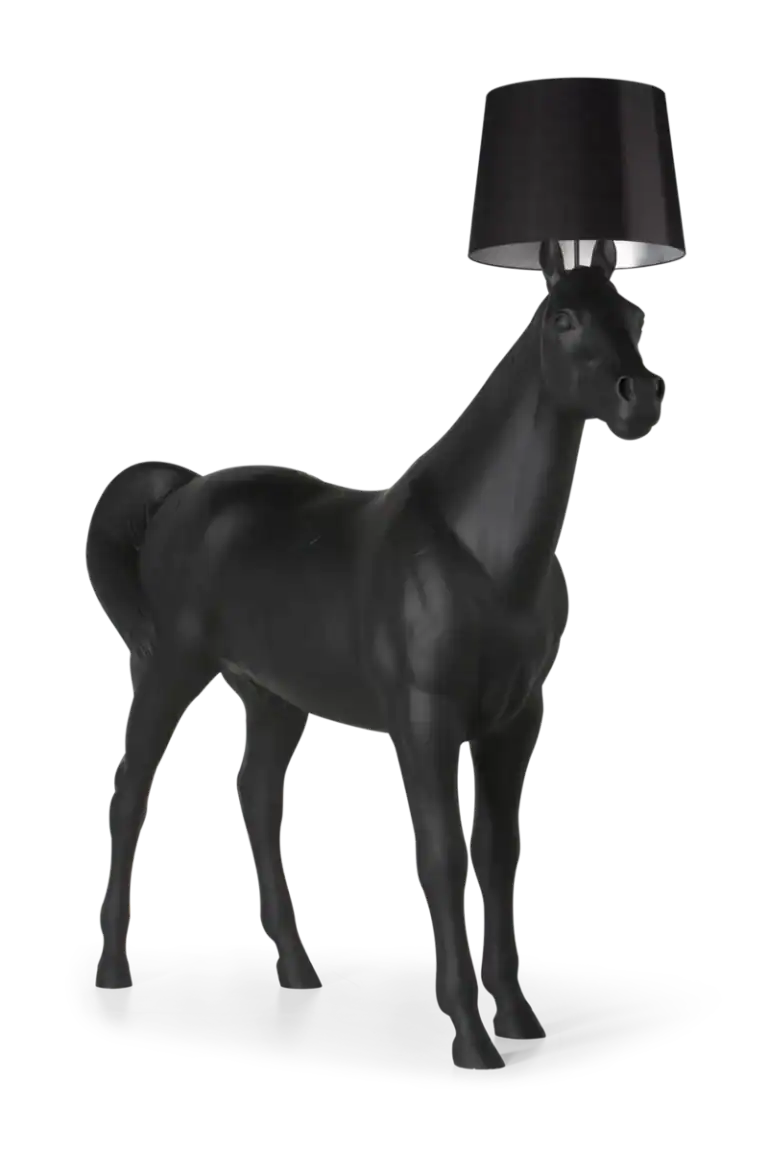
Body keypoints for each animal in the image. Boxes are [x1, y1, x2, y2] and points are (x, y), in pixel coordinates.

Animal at [88, 238, 665, 1070]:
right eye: (563, 318)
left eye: (633, 312)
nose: (639, 396)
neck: (480, 555)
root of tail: (182, 493)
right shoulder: (426, 725)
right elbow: (444, 856)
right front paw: (470, 1034)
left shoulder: (514, 724)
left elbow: (498, 851)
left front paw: (516, 1013)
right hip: (171, 668)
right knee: (131, 792)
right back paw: (112, 964)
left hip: (273, 695)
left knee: (257, 794)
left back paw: (298, 966)